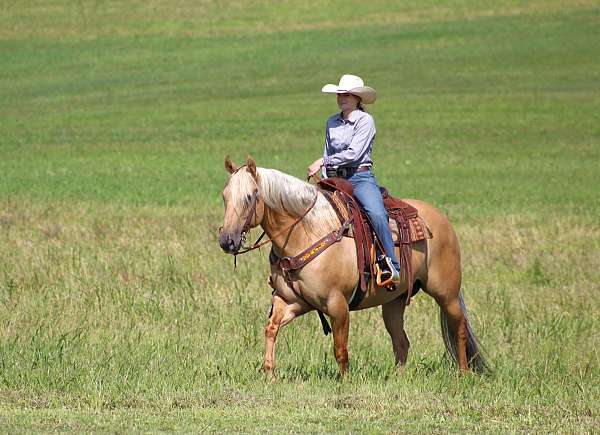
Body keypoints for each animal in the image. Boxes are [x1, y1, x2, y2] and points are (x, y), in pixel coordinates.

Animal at [220, 157, 488, 378]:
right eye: (224, 196)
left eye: (250, 196)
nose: (227, 240)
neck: (305, 232)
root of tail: (441, 220)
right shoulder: (291, 301)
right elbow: (271, 329)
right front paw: (269, 373)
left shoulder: (337, 304)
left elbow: (340, 348)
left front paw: (344, 381)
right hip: (394, 302)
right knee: (401, 341)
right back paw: (397, 379)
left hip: (446, 293)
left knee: (459, 328)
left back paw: (464, 373)